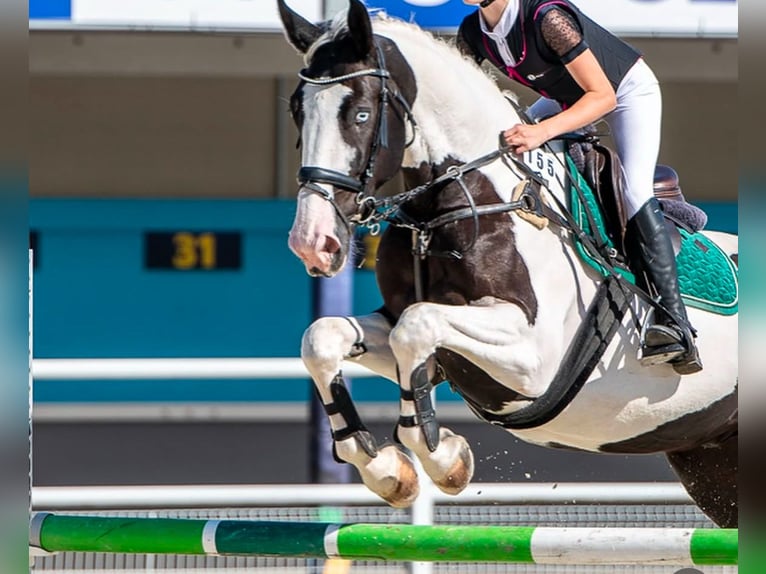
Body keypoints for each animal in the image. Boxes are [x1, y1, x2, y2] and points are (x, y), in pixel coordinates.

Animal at [278, 0, 736, 532]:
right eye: (297, 112)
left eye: (361, 114)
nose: (313, 242)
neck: (463, 200)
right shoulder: (425, 340)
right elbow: (324, 337)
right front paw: (388, 469)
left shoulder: (532, 355)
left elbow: (415, 326)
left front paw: (443, 458)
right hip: (711, 460)